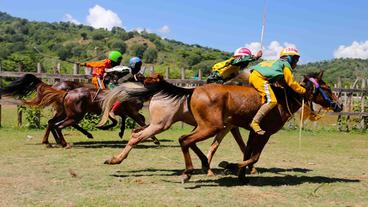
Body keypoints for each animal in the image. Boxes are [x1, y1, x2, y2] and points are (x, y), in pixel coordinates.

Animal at [0, 74, 159, 147]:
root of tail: (62, 90)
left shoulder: (125, 112)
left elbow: (123, 122)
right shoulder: (131, 112)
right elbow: (142, 123)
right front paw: (155, 140)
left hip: (64, 113)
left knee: (52, 123)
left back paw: (51, 141)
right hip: (74, 115)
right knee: (58, 125)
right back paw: (63, 141)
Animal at [97, 73, 256, 176]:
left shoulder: (225, 126)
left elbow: (221, 145)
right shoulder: (227, 126)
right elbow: (231, 145)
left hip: (157, 124)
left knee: (136, 132)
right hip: (161, 125)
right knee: (138, 136)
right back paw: (117, 159)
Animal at [173, 71, 344, 183]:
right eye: (327, 88)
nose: (340, 105)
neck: (283, 99)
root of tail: (194, 90)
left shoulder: (253, 133)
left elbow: (247, 153)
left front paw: (241, 175)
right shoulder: (264, 133)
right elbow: (254, 156)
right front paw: (231, 165)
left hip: (207, 126)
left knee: (186, 140)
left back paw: (203, 164)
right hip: (212, 127)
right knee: (185, 140)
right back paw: (189, 171)